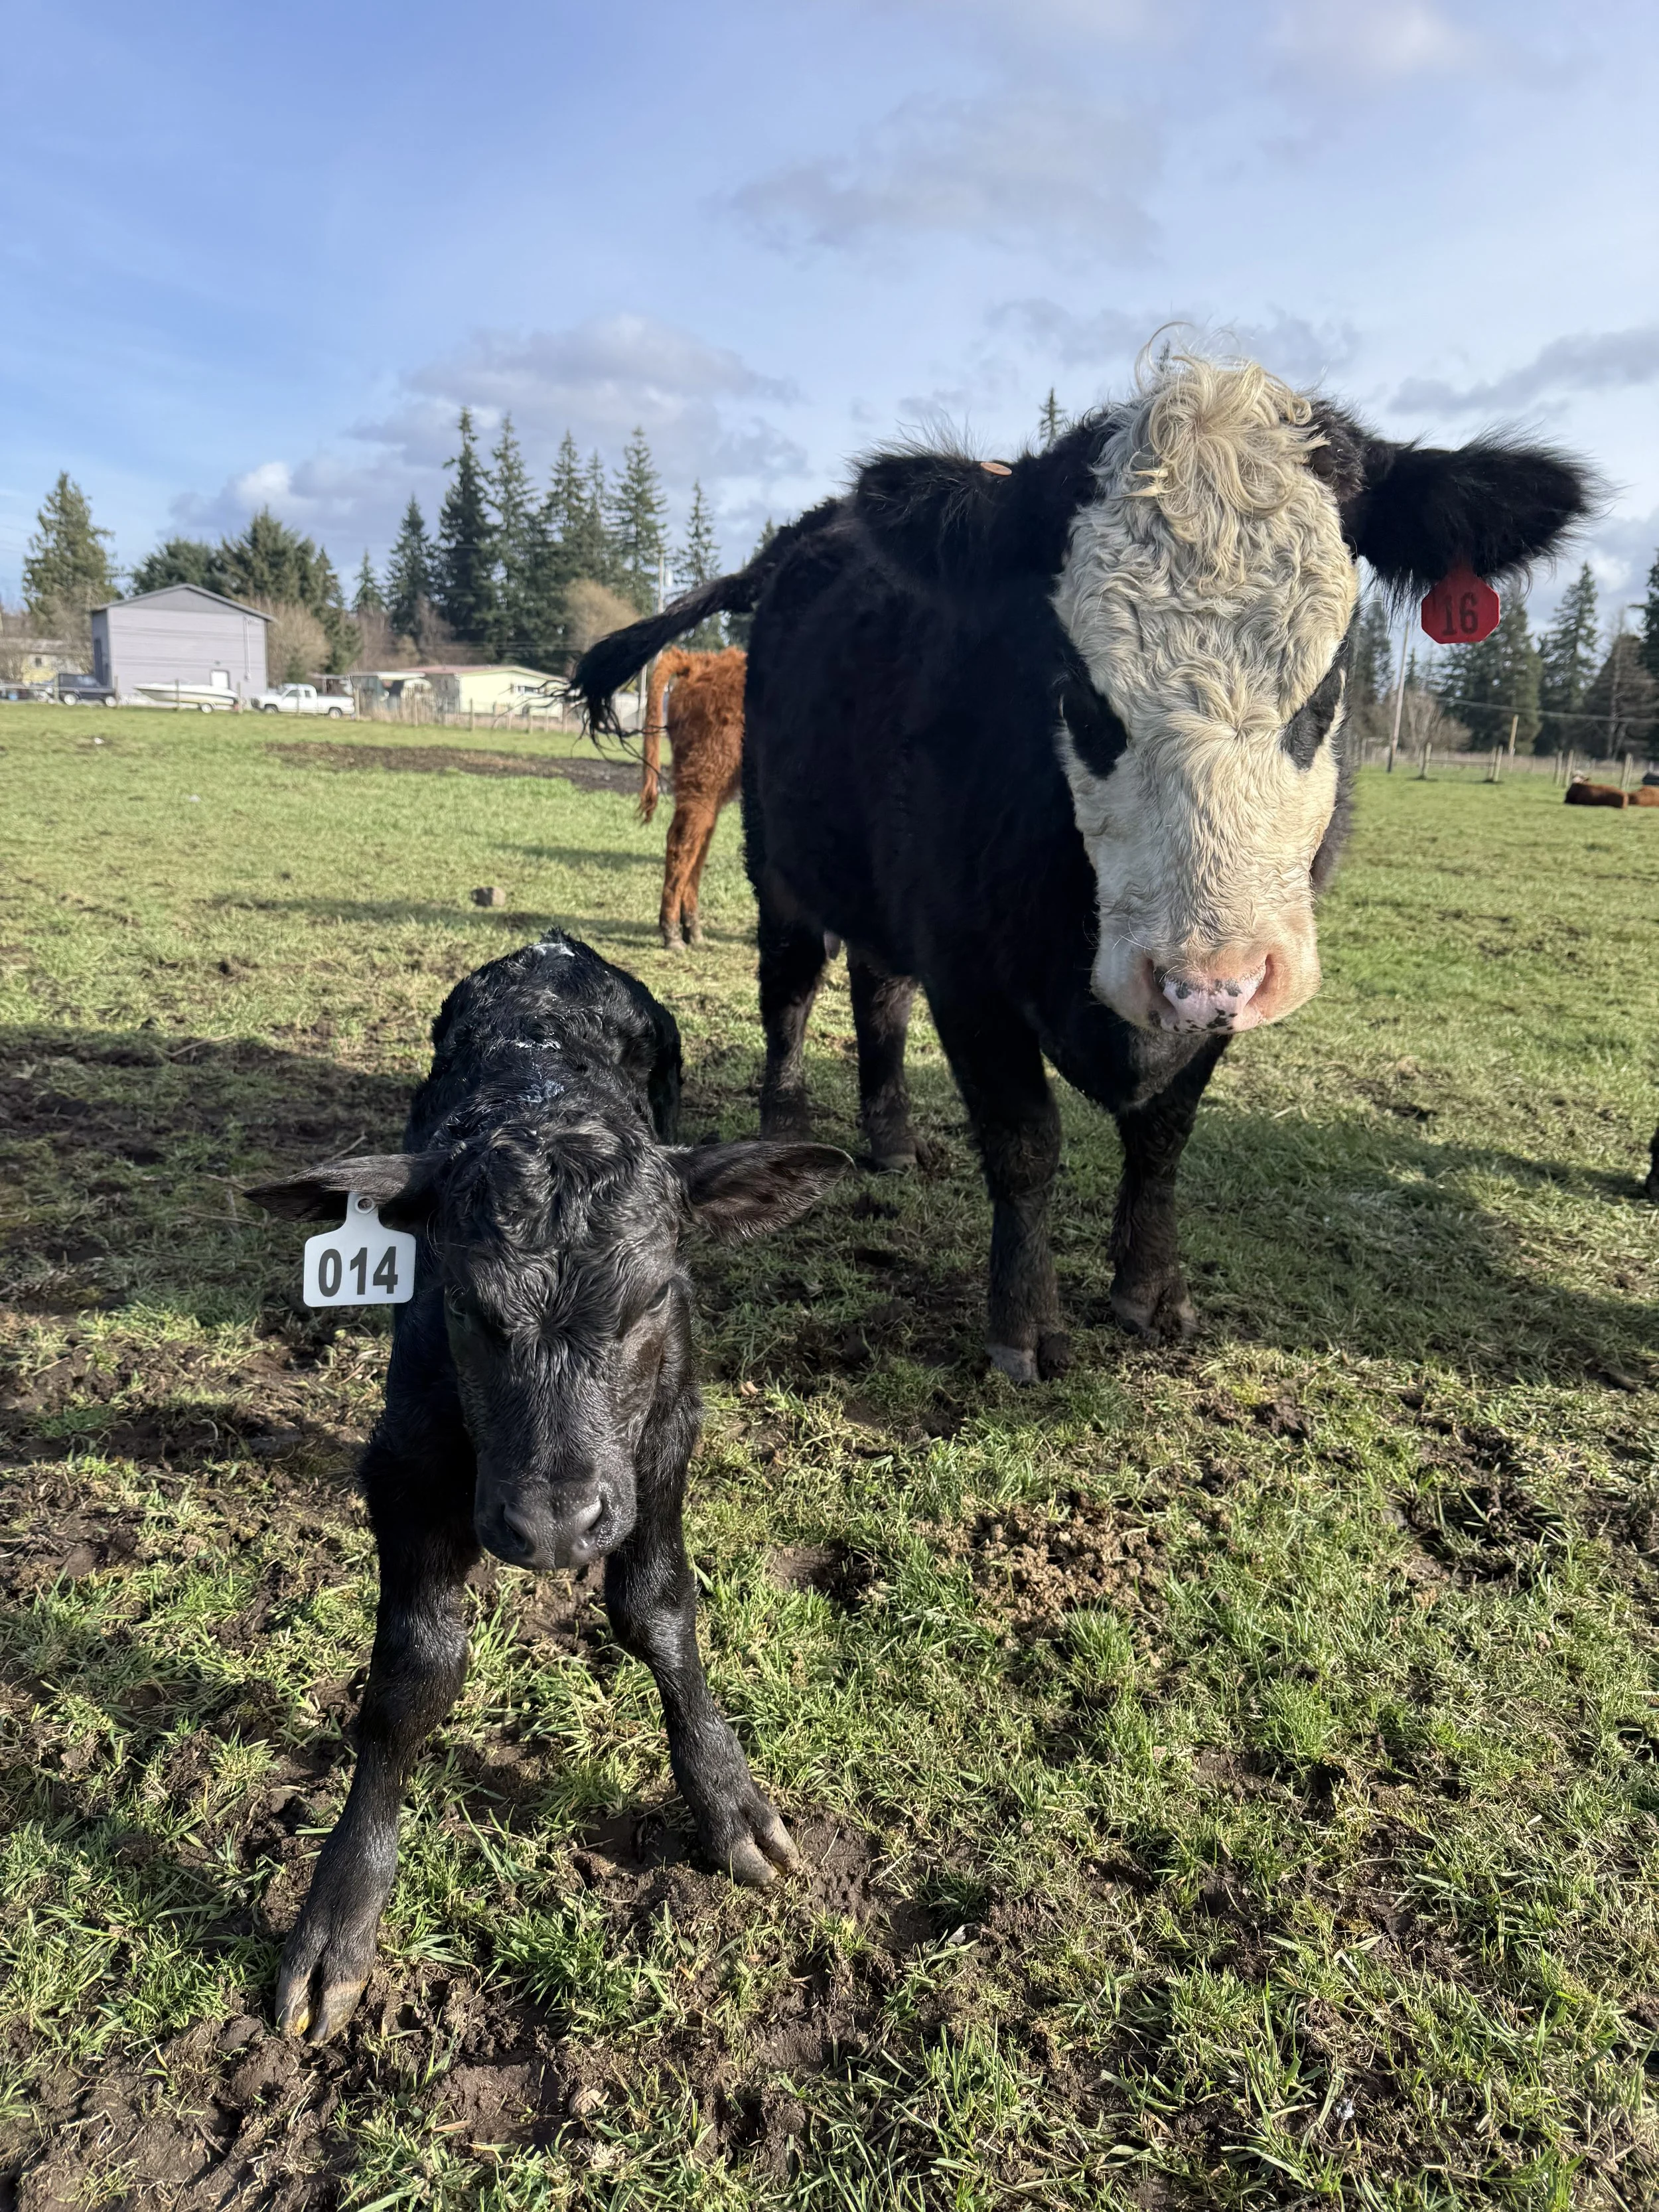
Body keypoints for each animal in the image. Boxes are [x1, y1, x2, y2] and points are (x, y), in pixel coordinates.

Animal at [247, 934, 848, 2040]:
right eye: (464, 1302)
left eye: (653, 1296)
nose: (555, 1523)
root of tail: (550, 951)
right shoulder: (404, 1458)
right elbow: (413, 1679)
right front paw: (340, 1916)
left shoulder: (664, 1438)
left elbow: (658, 1609)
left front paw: (728, 1800)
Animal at [638, 645, 746, 949]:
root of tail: (702, 662)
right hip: (705, 778)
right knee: (682, 843)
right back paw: (672, 932)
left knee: (698, 847)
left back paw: (692, 929)